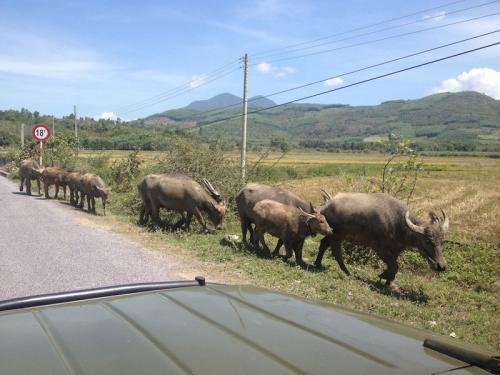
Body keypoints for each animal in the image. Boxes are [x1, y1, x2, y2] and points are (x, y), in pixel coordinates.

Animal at [316, 192, 450, 292]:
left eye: (442, 241)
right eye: (427, 240)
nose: (441, 266)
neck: (398, 223)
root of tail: (325, 206)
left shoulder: (396, 250)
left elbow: (393, 266)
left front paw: (389, 282)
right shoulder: (380, 249)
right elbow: (395, 266)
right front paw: (383, 276)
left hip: (333, 234)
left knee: (323, 244)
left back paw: (318, 263)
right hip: (336, 236)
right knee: (336, 252)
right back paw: (347, 272)